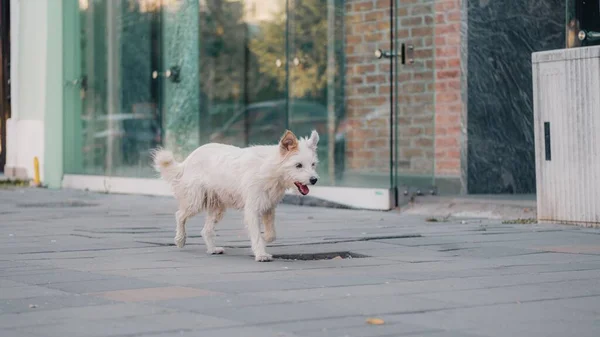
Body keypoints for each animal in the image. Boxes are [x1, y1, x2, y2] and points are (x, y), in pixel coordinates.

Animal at [152, 130, 322, 262]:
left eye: (313, 164)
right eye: (298, 165)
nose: (314, 179)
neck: (270, 168)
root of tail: (187, 160)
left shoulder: (268, 207)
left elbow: (271, 234)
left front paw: (265, 239)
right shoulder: (252, 209)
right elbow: (256, 233)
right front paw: (261, 253)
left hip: (217, 208)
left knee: (206, 230)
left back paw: (212, 249)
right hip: (195, 201)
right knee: (179, 215)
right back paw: (180, 239)